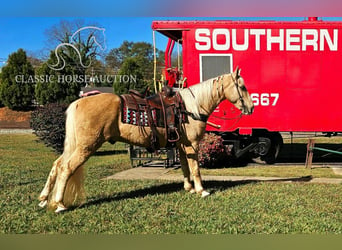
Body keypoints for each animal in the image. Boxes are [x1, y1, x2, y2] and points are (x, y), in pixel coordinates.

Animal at [38, 67, 254, 212]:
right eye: (242, 86)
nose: (251, 108)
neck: (191, 107)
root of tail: (78, 102)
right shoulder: (192, 145)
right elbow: (196, 168)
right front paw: (202, 190)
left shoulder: (181, 145)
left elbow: (185, 167)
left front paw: (189, 188)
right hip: (86, 146)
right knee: (66, 168)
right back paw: (59, 204)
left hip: (75, 146)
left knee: (57, 164)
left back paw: (43, 198)